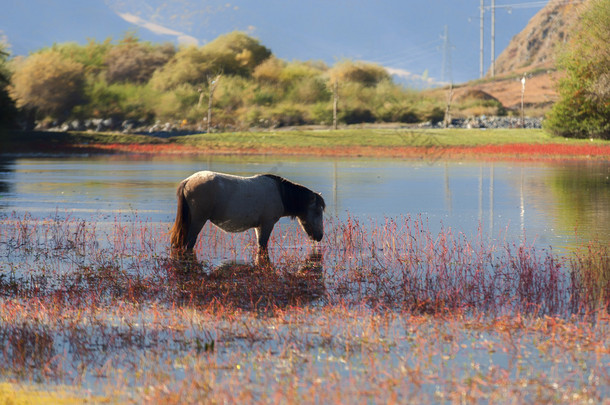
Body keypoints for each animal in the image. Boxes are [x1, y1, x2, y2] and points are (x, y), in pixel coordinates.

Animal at [169, 171, 326, 256]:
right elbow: (263, 245)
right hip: (197, 221)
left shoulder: (259, 226)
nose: (319, 236)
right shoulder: (267, 224)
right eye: (318, 211)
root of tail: (188, 180)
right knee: (189, 243)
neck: (281, 194)